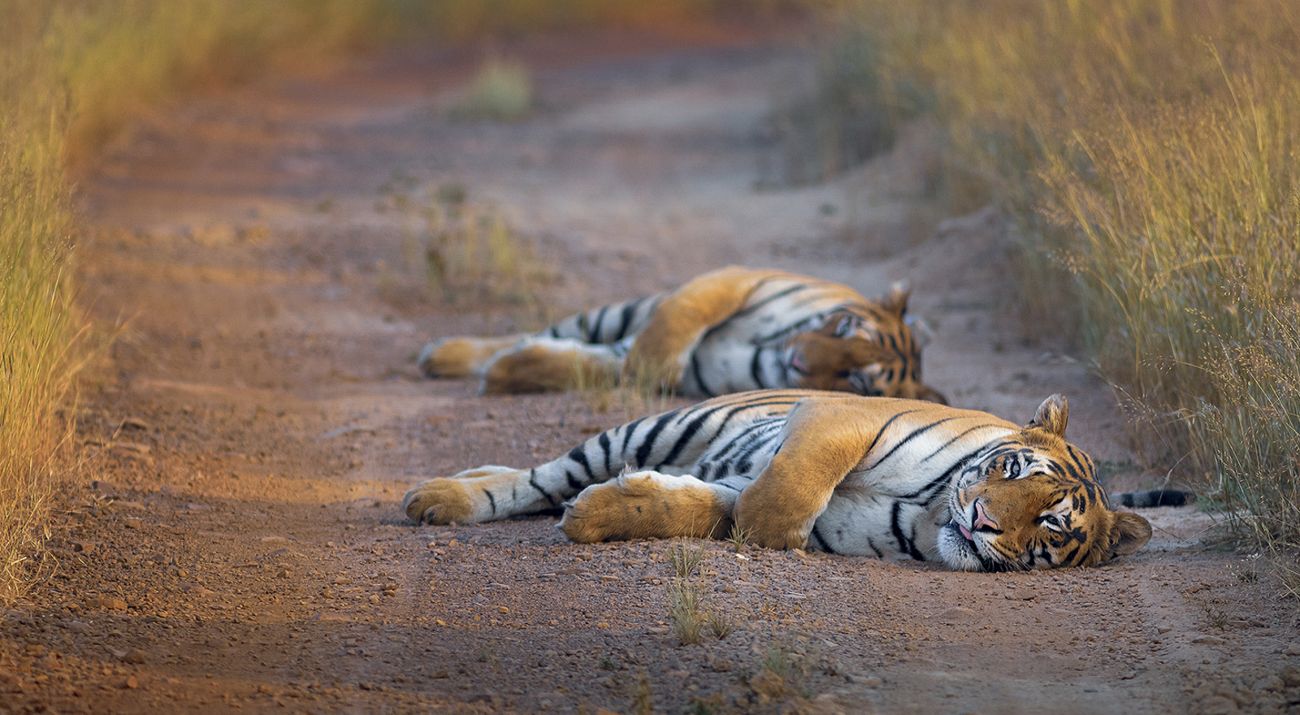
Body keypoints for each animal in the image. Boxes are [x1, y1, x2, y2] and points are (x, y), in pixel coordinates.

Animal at [417, 266, 947, 402]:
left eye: (856, 379)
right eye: (843, 326)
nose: (797, 359)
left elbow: (588, 366)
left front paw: (508, 372)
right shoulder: (740, 277)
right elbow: (683, 316)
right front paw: (655, 361)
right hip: (611, 314)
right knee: (541, 331)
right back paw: (441, 355)